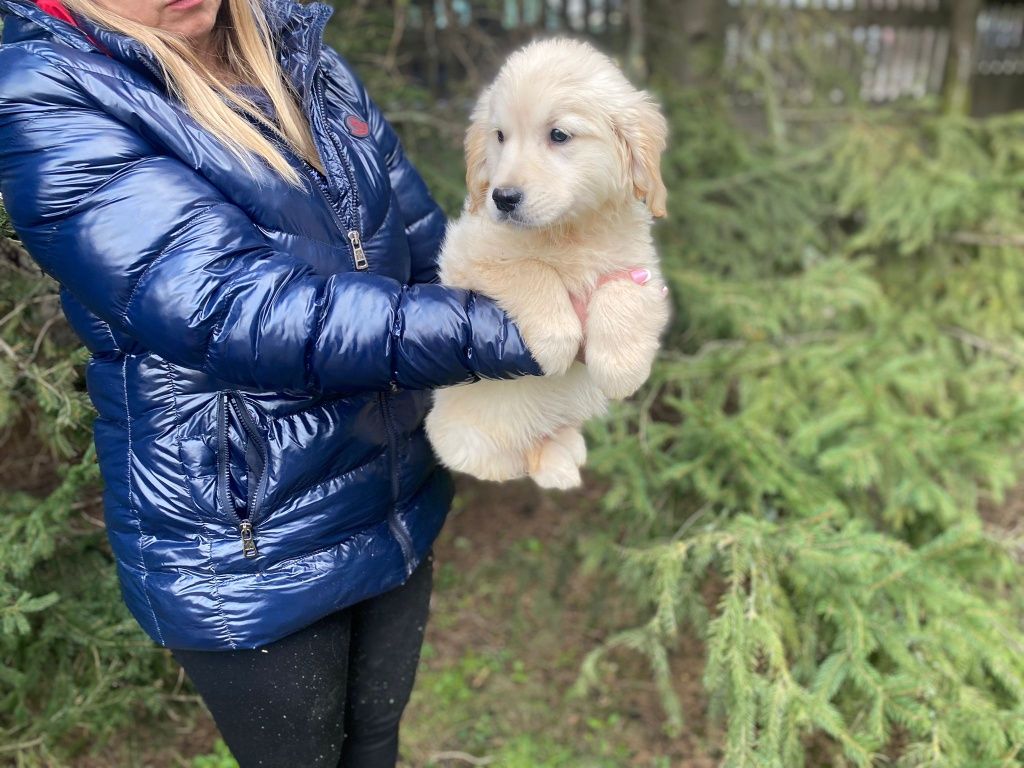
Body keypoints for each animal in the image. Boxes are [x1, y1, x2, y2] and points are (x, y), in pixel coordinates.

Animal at [423, 36, 671, 489]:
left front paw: (621, 367)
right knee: (502, 461)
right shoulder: (466, 253)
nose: (502, 198)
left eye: (559, 135)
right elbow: (531, 271)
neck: (567, 230)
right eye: (500, 136)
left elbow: (619, 291)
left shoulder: (642, 269)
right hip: (462, 436)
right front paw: (557, 345)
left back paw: (562, 460)